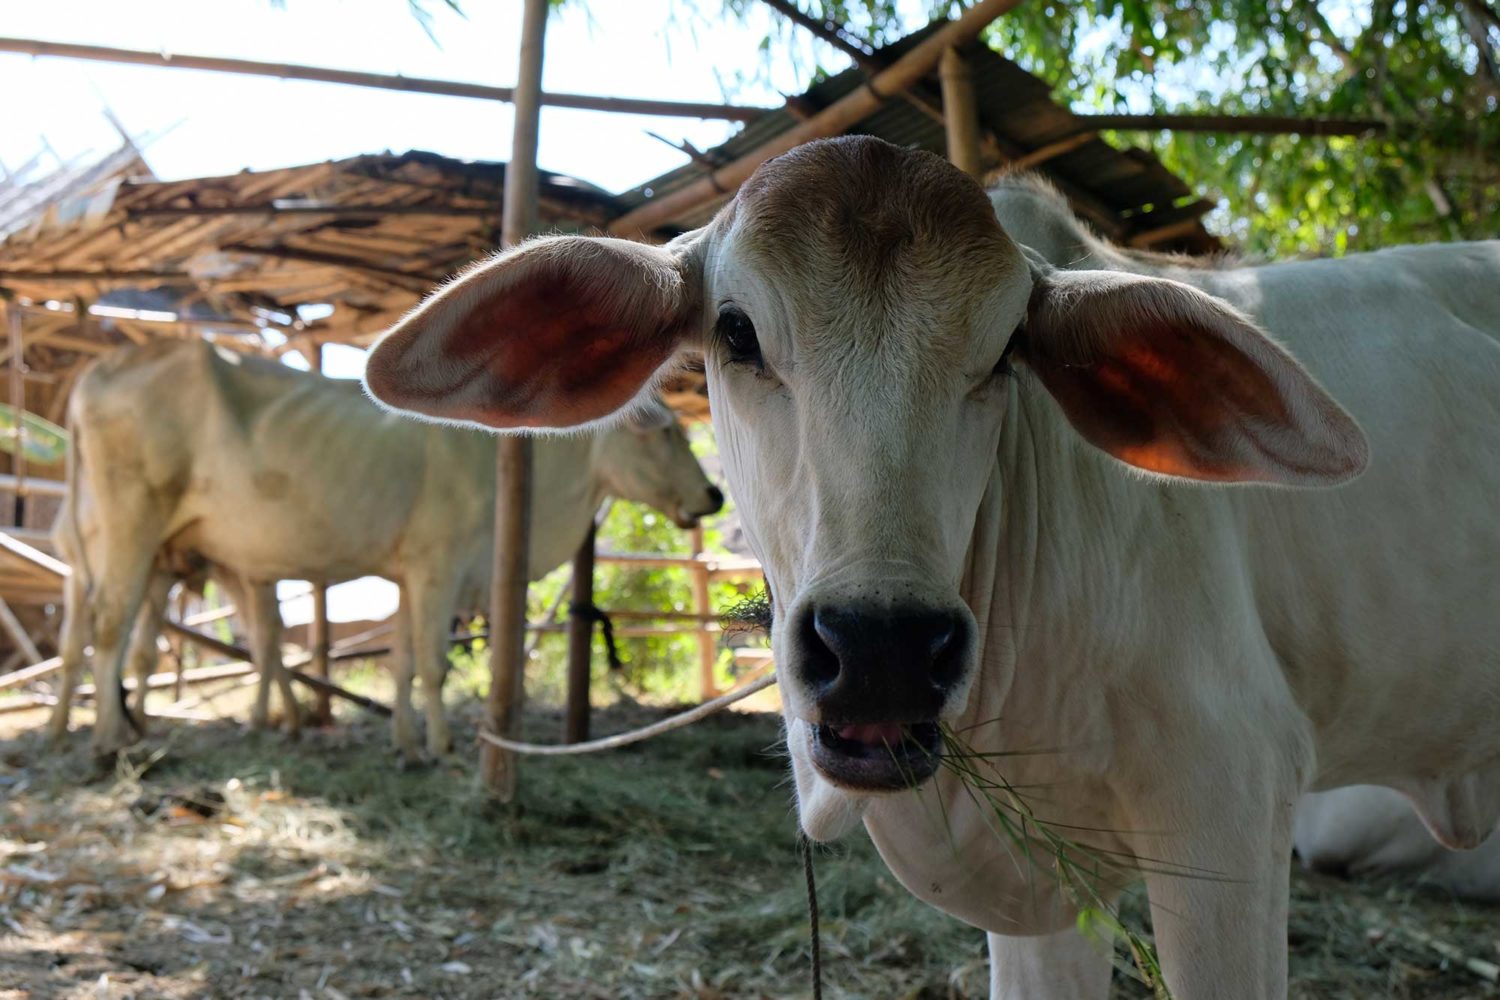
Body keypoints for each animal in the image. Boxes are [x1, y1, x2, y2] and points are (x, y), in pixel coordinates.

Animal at [52, 340, 720, 755]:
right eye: (667, 431)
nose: (713, 494)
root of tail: (103, 367)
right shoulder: (438, 565)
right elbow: (432, 663)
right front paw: (442, 744)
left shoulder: (407, 573)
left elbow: (400, 660)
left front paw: (405, 744)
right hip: (132, 529)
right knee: (109, 630)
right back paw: (108, 739)